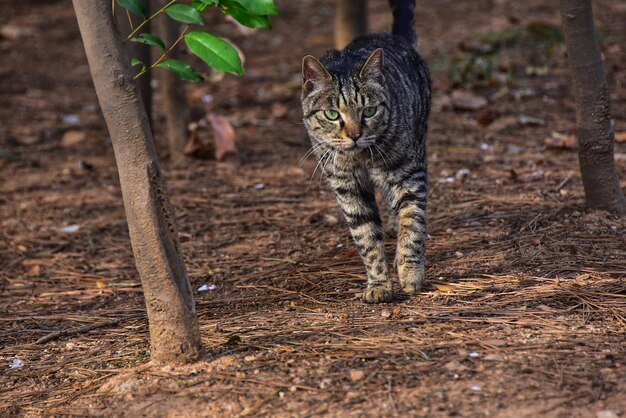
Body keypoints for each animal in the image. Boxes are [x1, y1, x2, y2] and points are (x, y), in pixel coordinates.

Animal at [302, 0, 428, 302]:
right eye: (332, 114)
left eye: (369, 111)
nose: (355, 135)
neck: (361, 158)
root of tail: (393, 35)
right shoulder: (349, 189)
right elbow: (367, 237)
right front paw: (379, 283)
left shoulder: (409, 175)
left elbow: (413, 223)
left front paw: (410, 271)